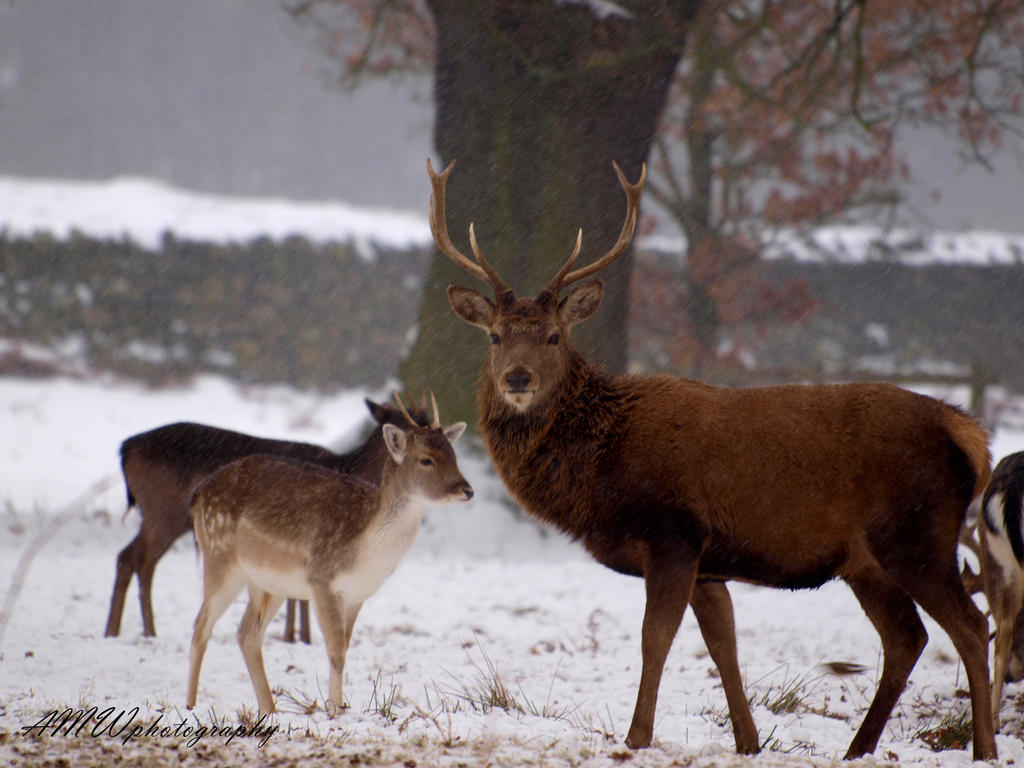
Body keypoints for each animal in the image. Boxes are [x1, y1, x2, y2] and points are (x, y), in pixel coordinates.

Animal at [100, 397, 428, 643]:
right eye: (400, 428)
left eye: (427, 424)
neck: (348, 468)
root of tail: (125, 449)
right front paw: (298, 638)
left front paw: (297, 636)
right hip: (164, 511)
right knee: (141, 560)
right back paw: (146, 631)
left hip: (156, 514)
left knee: (127, 556)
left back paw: (116, 631)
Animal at [187, 397, 471, 720]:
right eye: (426, 459)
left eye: (453, 455)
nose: (466, 490)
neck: (367, 549)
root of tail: (198, 494)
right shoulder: (321, 579)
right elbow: (335, 650)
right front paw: (336, 710)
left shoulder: (358, 594)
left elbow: (345, 647)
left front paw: (339, 706)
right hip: (219, 555)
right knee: (200, 626)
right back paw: (191, 706)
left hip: (267, 583)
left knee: (246, 634)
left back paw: (269, 709)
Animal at [428, 157, 995, 765]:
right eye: (494, 336)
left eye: (554, 336)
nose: (517, 378)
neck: (602, 471)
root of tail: (971, 435)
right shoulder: (708, 561)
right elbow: (723, 645)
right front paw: (748, 741)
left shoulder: (674, 533)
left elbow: (655, 639)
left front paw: (635, 738)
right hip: (866, 560)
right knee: (907, 638)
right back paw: (857, 748)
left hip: (917, 533)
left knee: (970, 625)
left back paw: (983, 747)